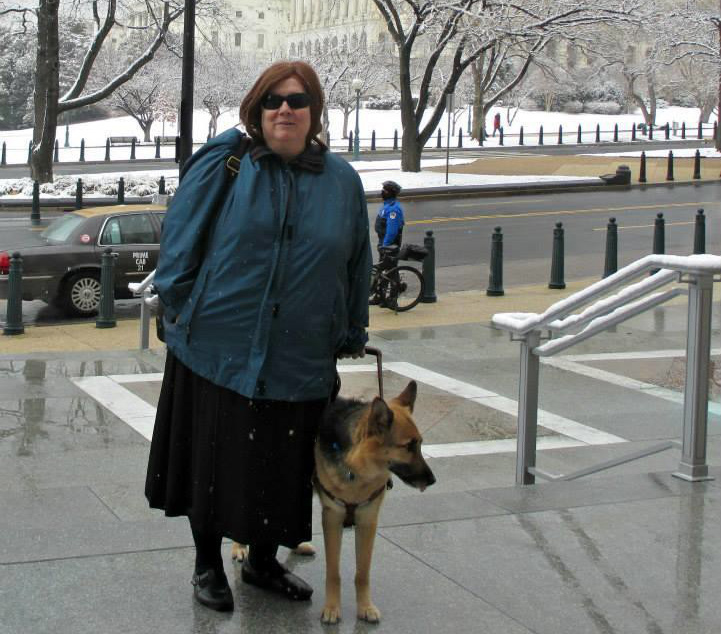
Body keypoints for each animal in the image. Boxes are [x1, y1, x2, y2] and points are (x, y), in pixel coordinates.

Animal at [232, 378, 434, 620]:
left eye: (420, 444)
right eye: (408, 446)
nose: (432, 480)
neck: (357, 470)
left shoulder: (368, 522)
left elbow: (362, 573)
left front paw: (365, 607)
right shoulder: (332, 519)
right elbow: (333, 573)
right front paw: (331, 608)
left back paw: (299, 546)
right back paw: (239, 547)